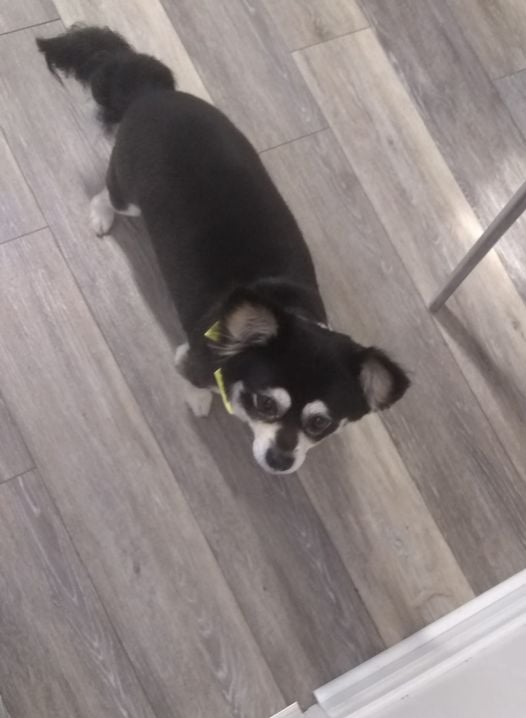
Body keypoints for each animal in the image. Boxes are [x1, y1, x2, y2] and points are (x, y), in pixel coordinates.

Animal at [37, 25, 410, 474]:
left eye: (320, 424)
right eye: (265, 403)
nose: (280, 460)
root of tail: (152, 92)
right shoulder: (195, 358)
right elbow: (193, 378)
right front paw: (199, 398)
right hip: (128, 191)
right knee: (108, 194)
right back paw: (100, 215)